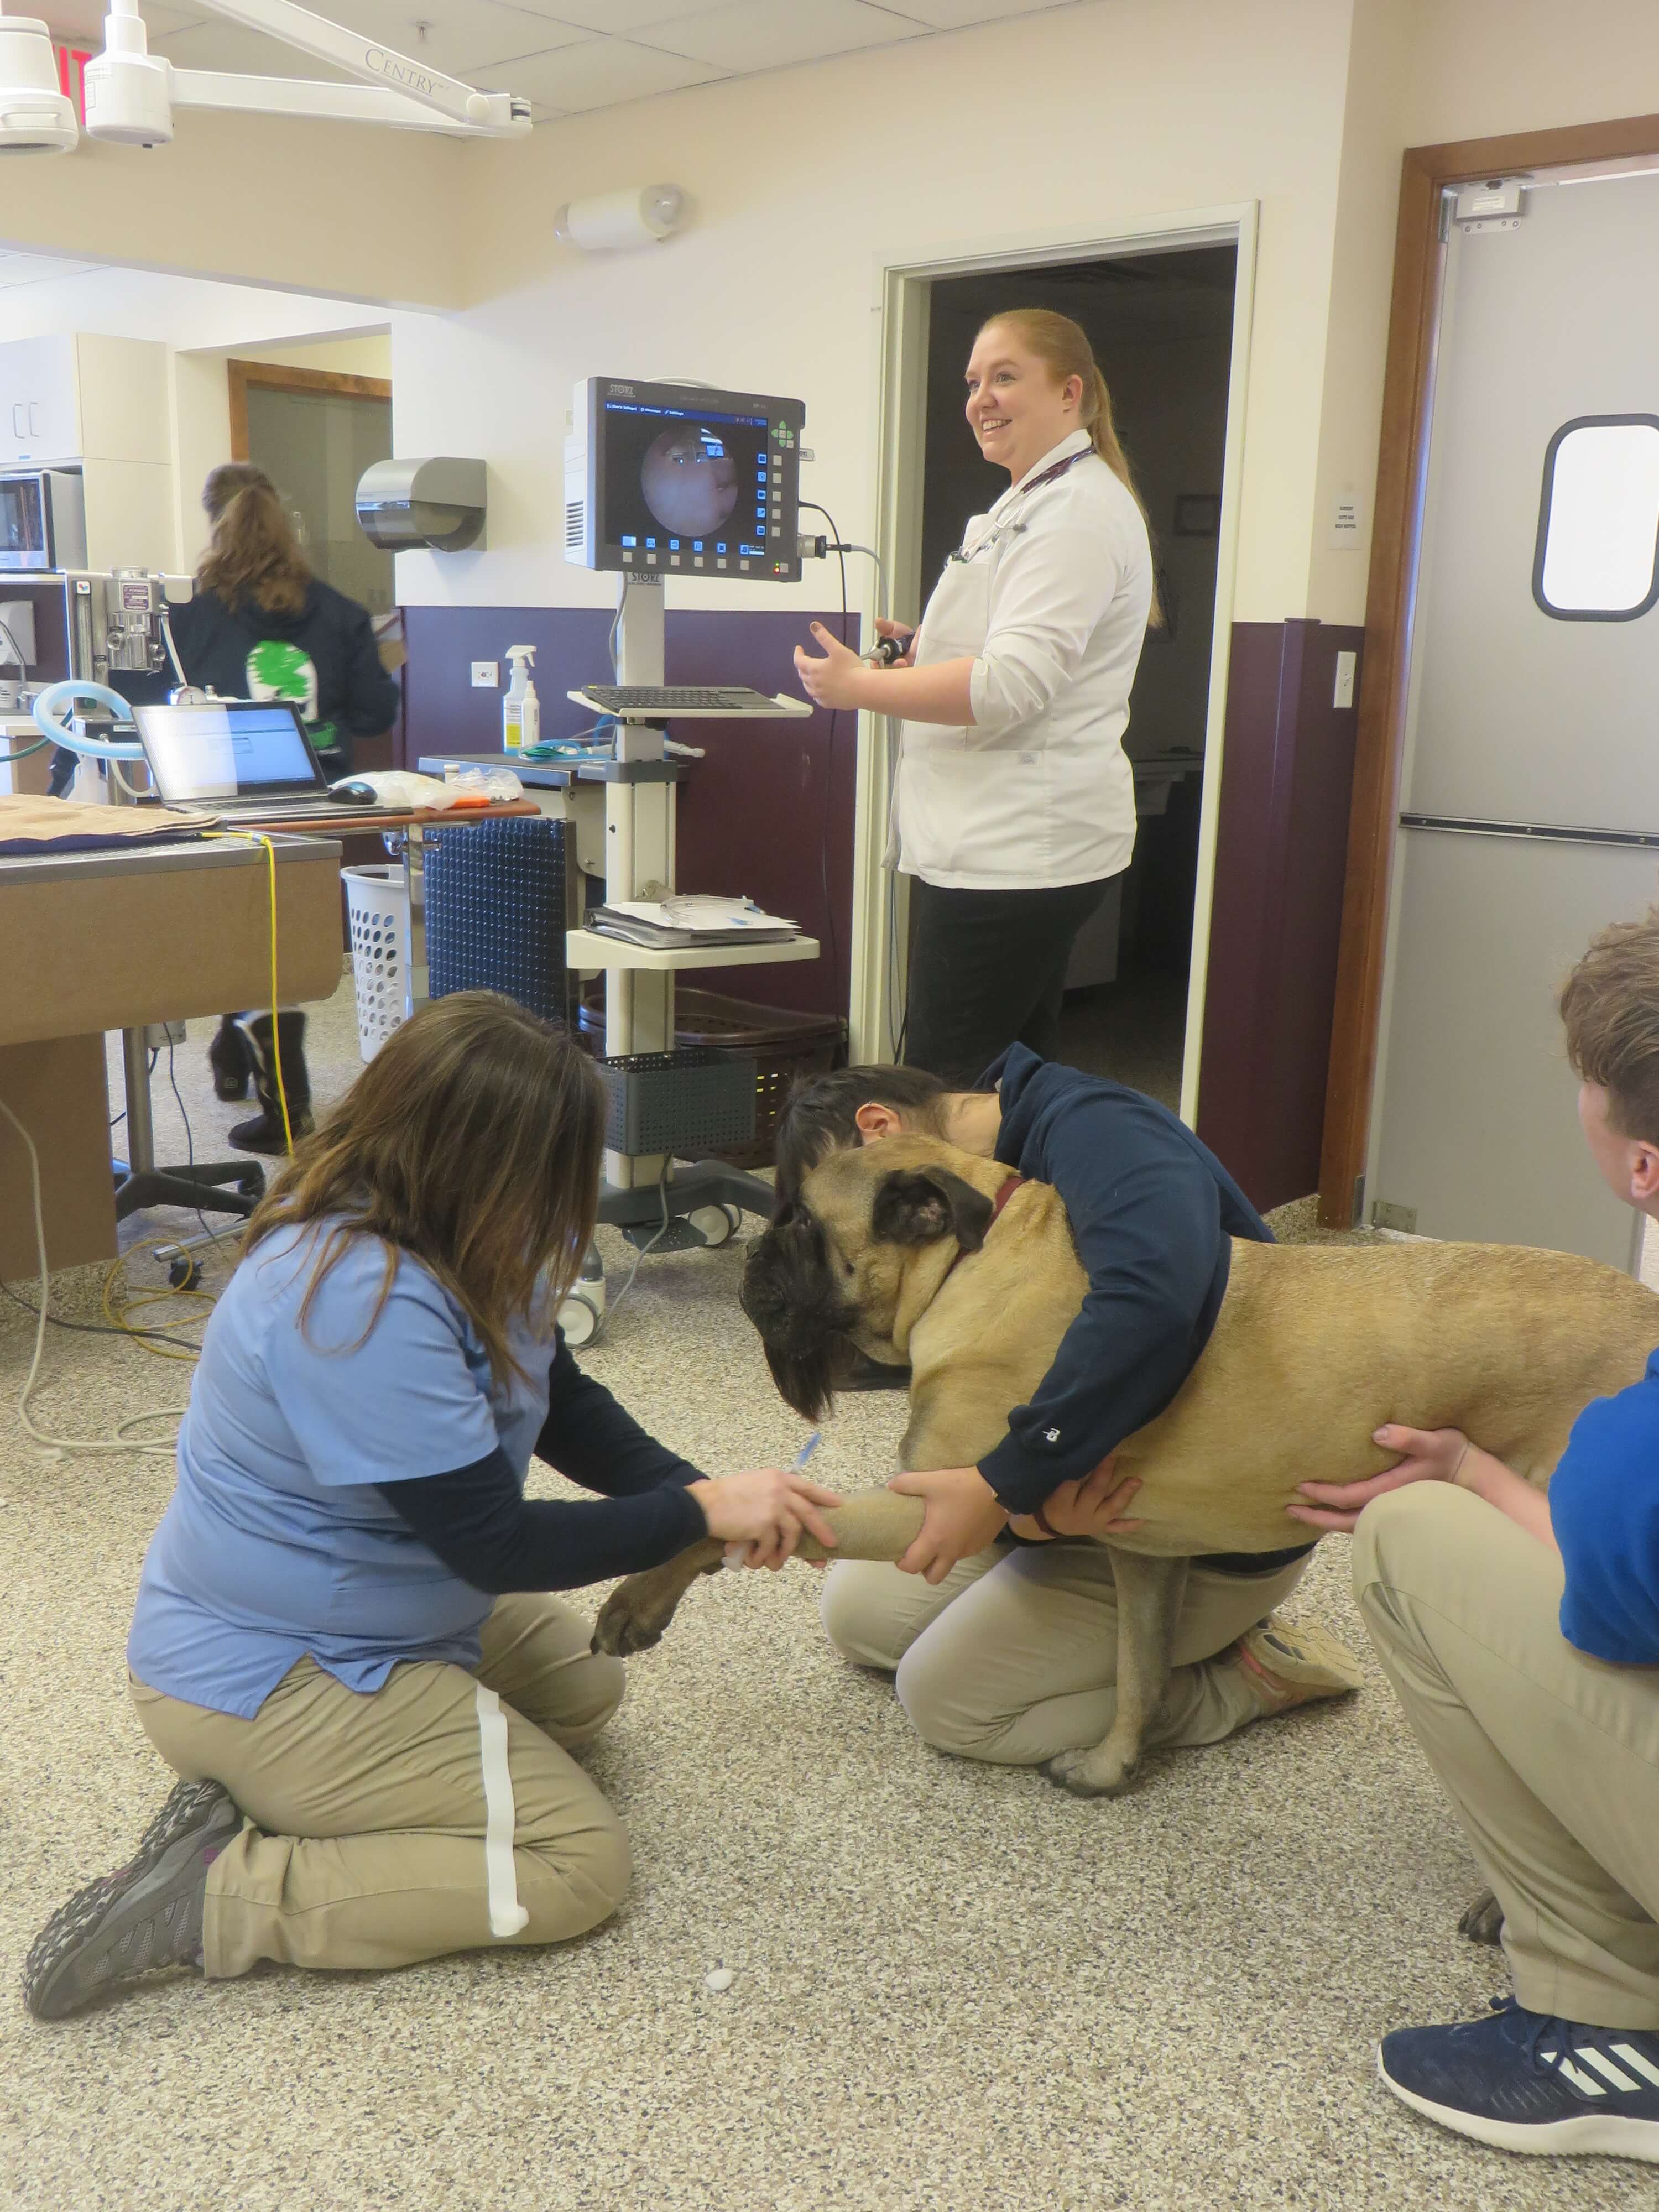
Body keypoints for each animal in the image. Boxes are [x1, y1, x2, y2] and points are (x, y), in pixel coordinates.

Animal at [597, 1141, 1659, 1796]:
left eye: (802, 1227)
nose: (751, 1262)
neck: (976, 1264)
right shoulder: (1146, 1557)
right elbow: (1139, 1673)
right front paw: (1113, 1766)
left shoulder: (932, 1507)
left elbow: (724, 1524)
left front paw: (636, 1601)